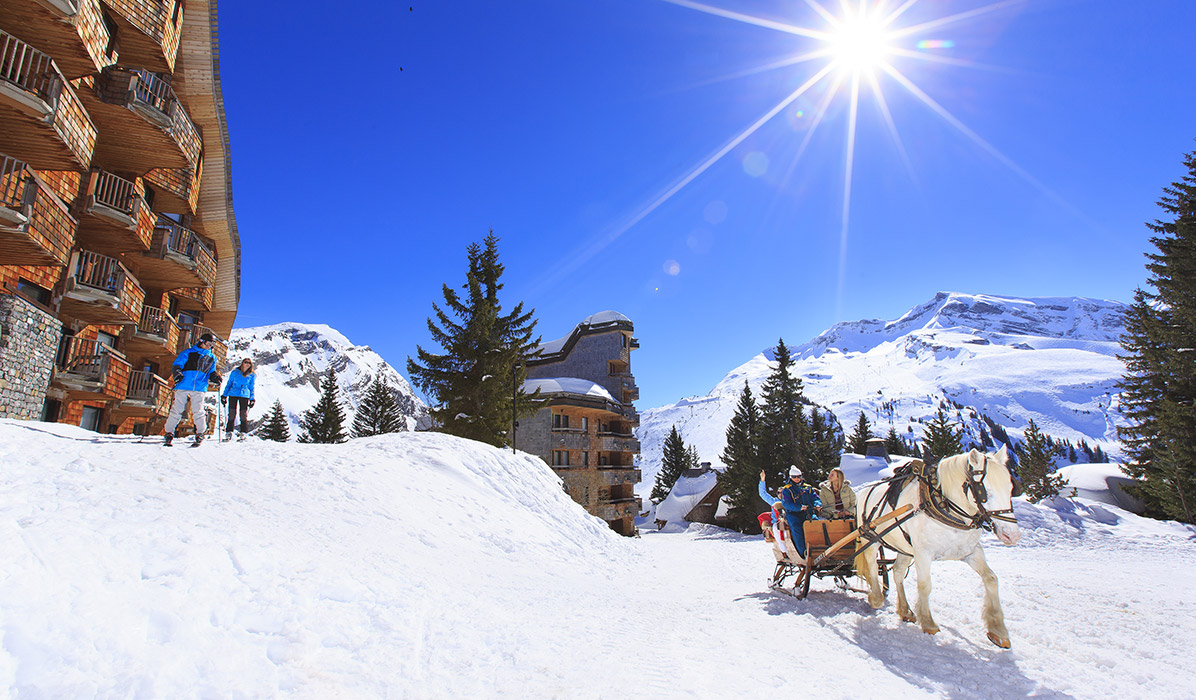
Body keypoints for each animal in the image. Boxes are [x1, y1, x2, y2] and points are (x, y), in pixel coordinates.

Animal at [856, 445, 1023, 646]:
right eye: (985, 491)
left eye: (1010, 488)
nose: (1012, 536)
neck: (944, 505)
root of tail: (863, 492)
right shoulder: (923, 553)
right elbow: (925, 585)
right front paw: (928, 622)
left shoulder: (970, 551)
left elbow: (991, 579)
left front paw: (998, 630)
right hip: (870, 538)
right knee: (873, 565)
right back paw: (876, 597)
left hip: (905, 547)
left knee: (897, 572)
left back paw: (905, 610)